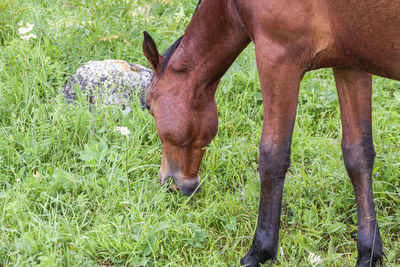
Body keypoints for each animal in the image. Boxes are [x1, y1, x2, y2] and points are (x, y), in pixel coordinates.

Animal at [142, 0, 398, 266]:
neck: (233, 6)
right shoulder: (351, 65)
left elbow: (272, 156)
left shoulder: (277, 60)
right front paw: (368, 252)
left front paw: (259, 251)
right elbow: (358, 155)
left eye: (148, 106)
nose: (169, 182)